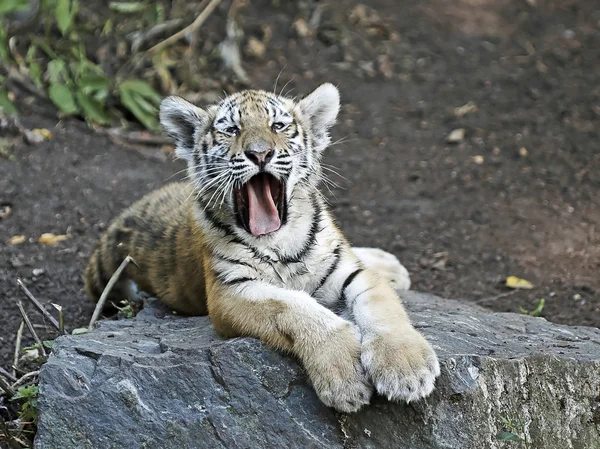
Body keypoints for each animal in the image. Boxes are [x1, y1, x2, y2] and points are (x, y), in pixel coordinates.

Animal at [83, 82, 440, 412]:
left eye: (278, 126)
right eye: (231, 130)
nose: (259, 153)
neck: (279, 241)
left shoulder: (351, 272)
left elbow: (380, 306)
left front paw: (406, 369)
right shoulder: (230, 291)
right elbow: (293, 306)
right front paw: (344, 379)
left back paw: (391, 267)